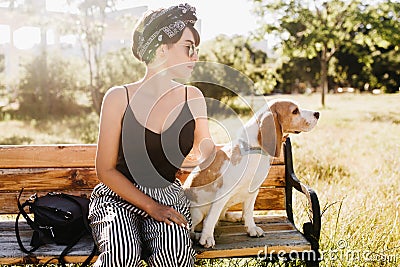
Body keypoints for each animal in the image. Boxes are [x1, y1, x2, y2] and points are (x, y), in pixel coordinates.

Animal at [184, 99, 318, 249]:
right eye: (295, 111)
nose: (317, 114)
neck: (254, 149)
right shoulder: (223, 193)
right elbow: (211, 218)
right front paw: (207, 237)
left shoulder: (253, 191)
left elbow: (248, 212)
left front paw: (251, 228)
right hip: (196, 213)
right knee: (194, 226)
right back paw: (197, 235)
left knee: (222, 215)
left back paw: (233, 216)